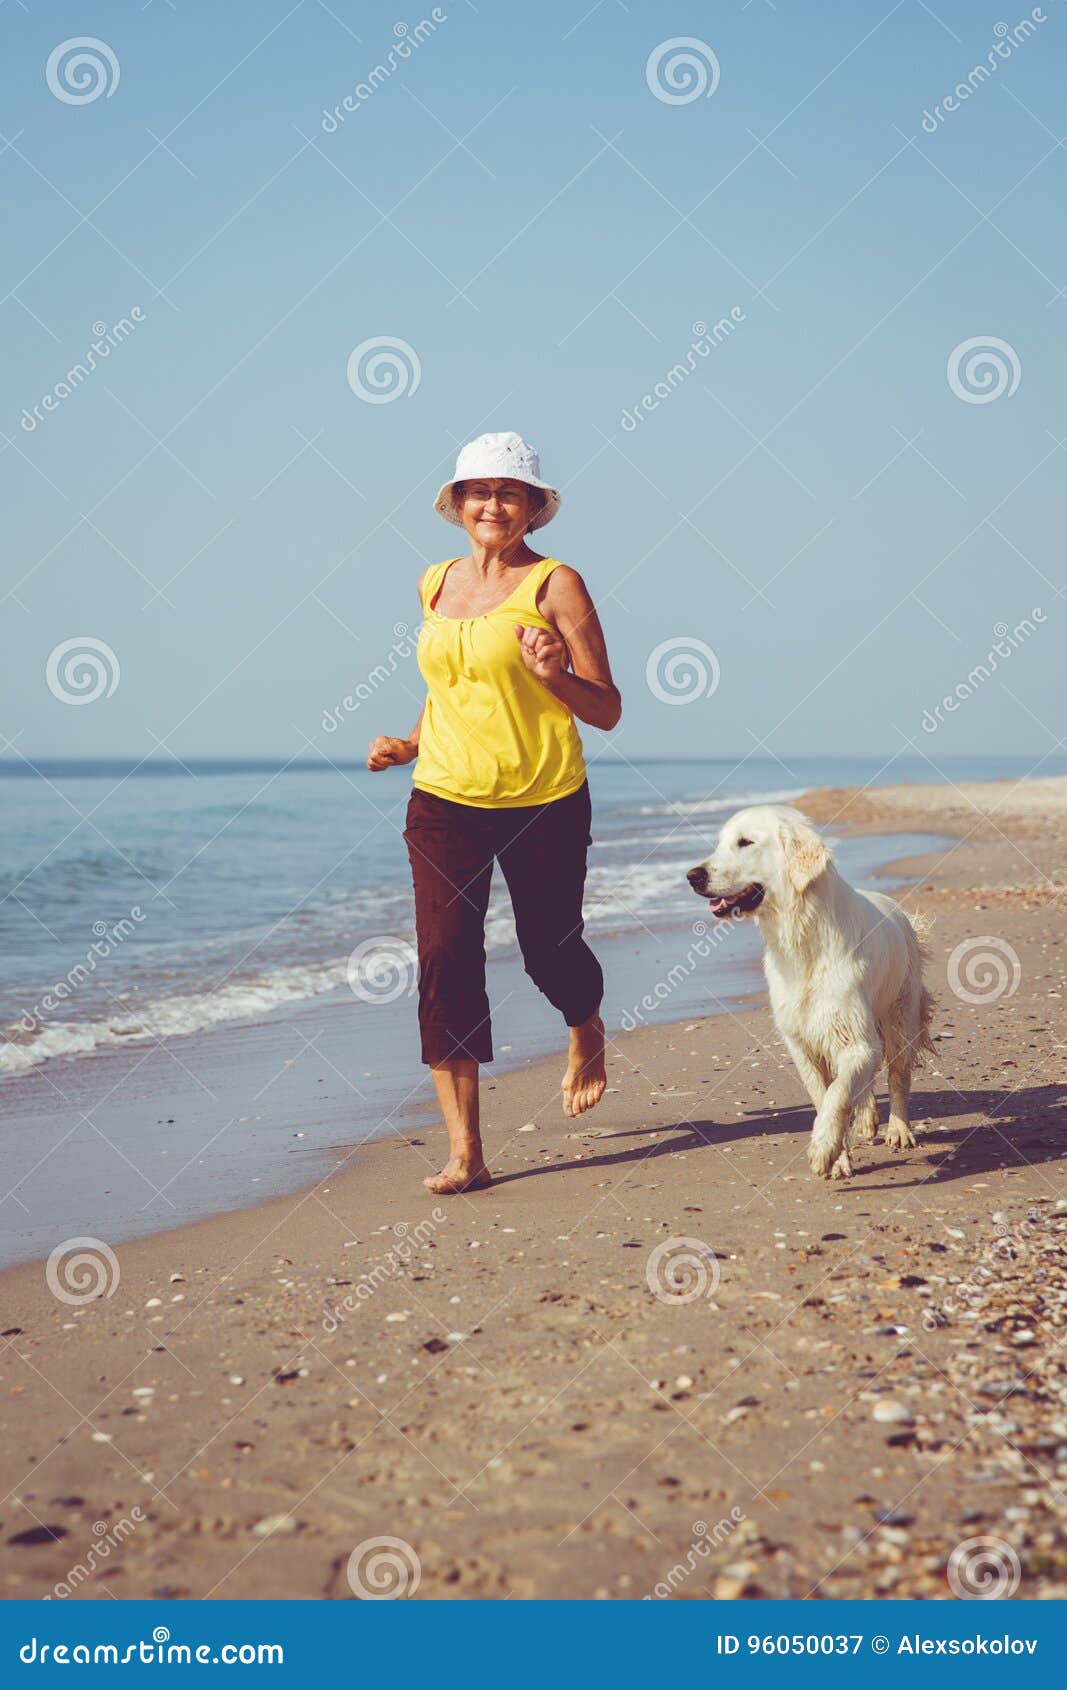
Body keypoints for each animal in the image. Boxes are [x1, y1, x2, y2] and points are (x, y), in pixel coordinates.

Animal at [689, 801, 933, 1176]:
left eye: (745, 842)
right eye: (720, 842)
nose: (692, 876)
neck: (802, 939)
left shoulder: (854, 1037)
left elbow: (838, 1093)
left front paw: (823, 1147)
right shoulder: (802, 1042)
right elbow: (823, 1094)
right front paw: (838, 1157)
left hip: (899, 1016)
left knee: (897, 1073)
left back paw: (899, 1129)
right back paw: (867, 1119)